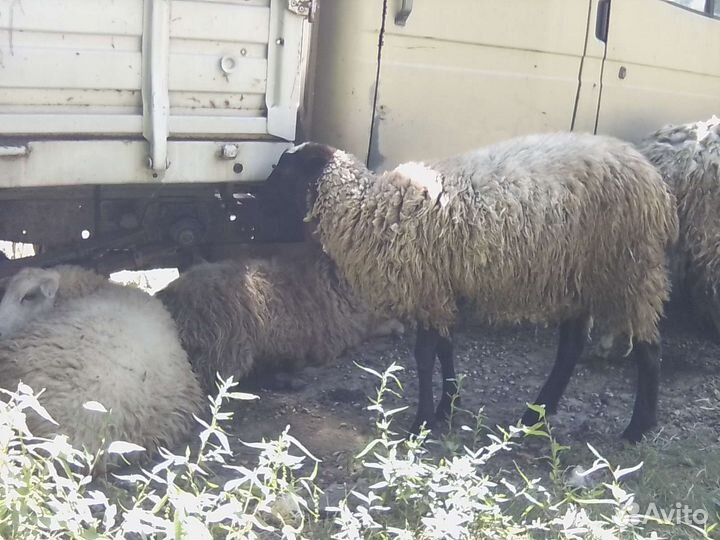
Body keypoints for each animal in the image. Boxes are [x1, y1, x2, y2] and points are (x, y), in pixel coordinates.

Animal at [258, 133, 678, 442]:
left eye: (283, 171)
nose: (249, 199)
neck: (372, 207)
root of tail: (653, 177)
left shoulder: (427, 287)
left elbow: (424, 354)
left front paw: (423, 420)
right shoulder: (439, 287)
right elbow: (445, 348)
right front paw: (448, 405)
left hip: (628, 269)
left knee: (649, 348)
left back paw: (637, 428)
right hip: (577, 276)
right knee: (571, 347)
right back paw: (536, 415)